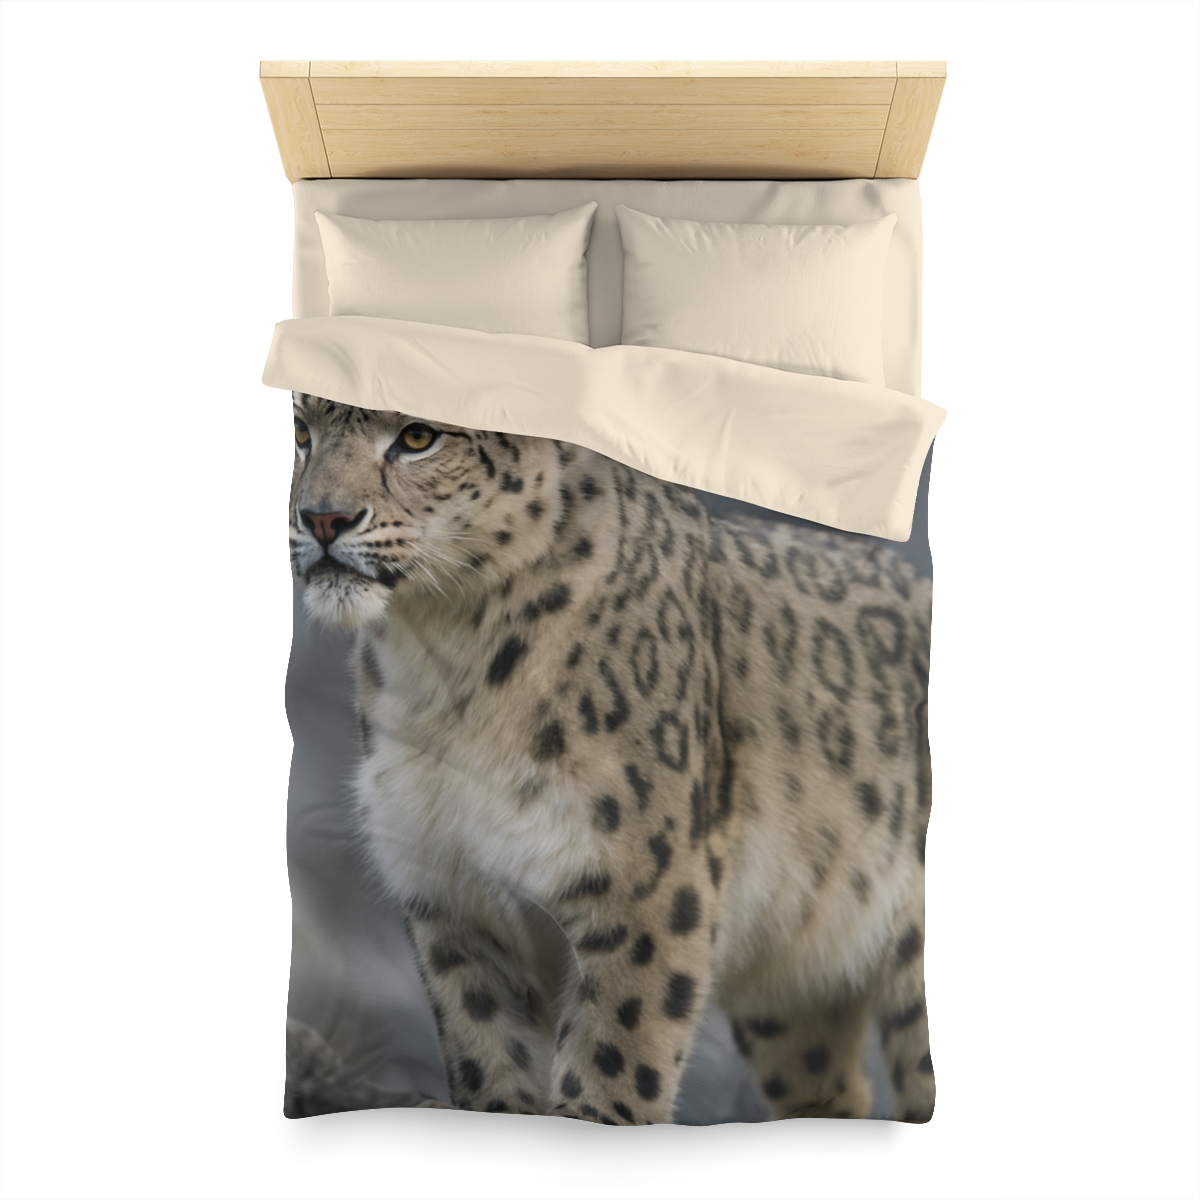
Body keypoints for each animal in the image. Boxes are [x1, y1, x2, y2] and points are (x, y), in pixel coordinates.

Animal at [288, 391, 935, 1125]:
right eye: (302, 429)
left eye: (419, 437)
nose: (321, 517)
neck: (441, 664)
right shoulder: (450, 898)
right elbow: (485, 1056)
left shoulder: (643, 888)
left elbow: (614, 1057)